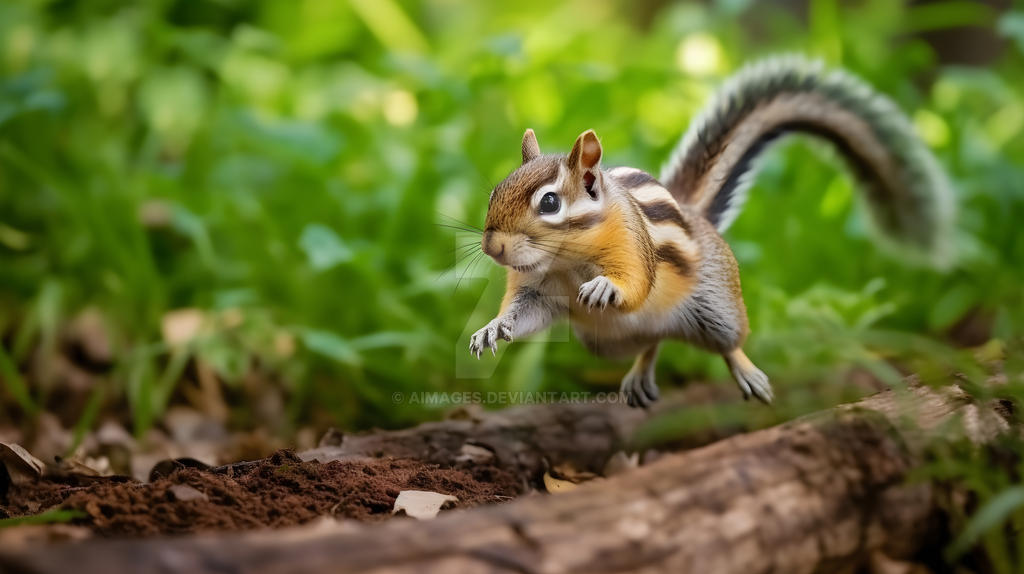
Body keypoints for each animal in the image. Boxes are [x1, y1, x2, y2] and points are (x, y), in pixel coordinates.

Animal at [468, 57, 954, 408]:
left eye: (550, 202)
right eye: (494, 191)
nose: (492, 246)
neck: (567, 258)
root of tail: (695, 216)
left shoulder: (632, 246)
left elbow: (637, 282)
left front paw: (606, 287)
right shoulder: (539, 286)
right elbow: (524, 311)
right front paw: (492, 328)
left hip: (717, 306)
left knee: (725, 340)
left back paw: (747, 372)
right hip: (605, 343)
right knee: (655, 340)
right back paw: (640, 375)